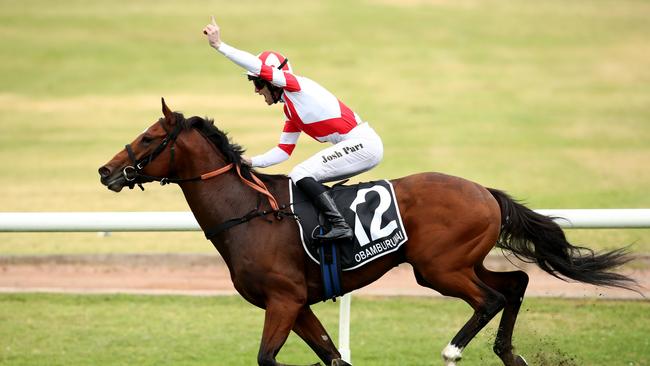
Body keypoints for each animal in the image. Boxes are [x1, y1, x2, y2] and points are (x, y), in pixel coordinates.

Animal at [97, 98, 632, 366]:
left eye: (149, 137)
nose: (106, 171)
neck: (248, 211)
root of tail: (484, 191)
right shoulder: (297, 303)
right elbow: (333, 358)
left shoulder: (283, 299)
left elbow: (268, 359)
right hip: (457, 263)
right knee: (516, 285)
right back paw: (509, 354)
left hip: (437, 268)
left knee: (492, 299)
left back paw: (454, 350)